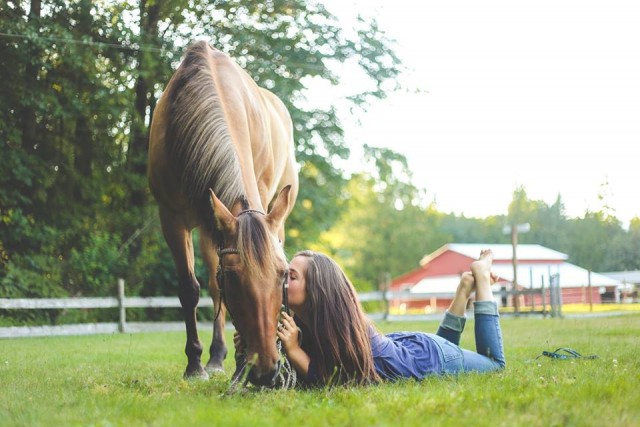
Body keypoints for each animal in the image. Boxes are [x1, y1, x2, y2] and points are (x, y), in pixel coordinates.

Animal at [149, 41, 298, 388]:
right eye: (234, 278)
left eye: (283, 275)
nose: (267, 369)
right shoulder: (171, 218)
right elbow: (190, 289)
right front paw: (194, 365)